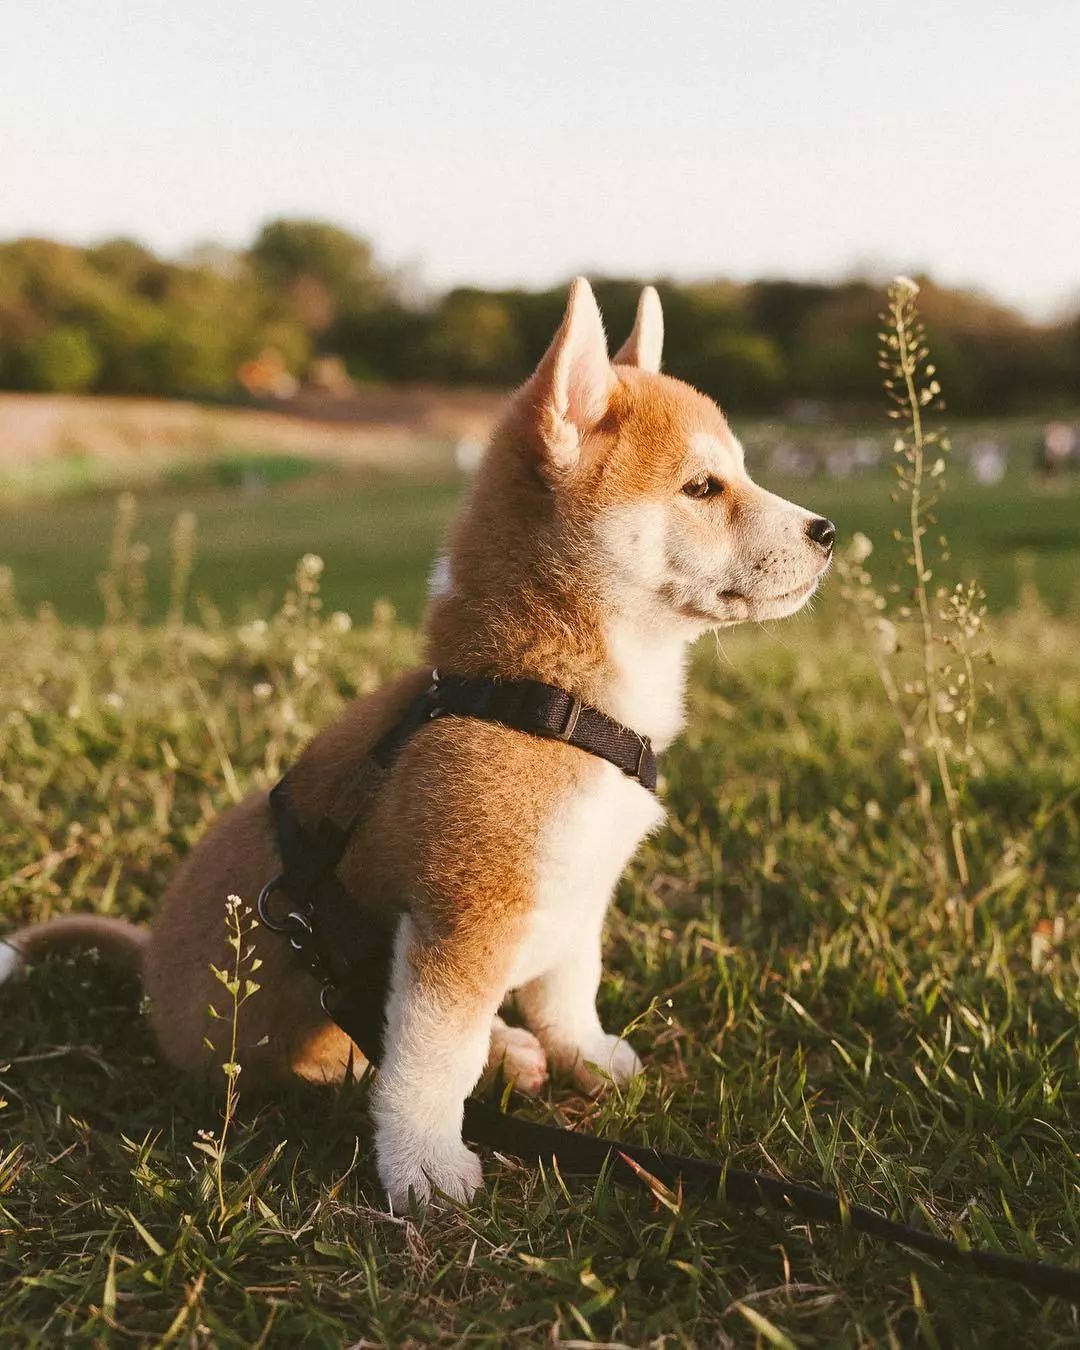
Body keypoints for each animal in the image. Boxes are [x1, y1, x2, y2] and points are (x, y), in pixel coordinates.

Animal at [0, 279, 837, 1209]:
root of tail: (148, 967)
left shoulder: (578, 896)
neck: (544, 696)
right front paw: (426, 1163)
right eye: (702, 486)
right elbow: (433, 1058)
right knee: (376, 1054)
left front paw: (585, 1055)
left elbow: (568, 992)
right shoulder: (463, 919)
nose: (826, 532)